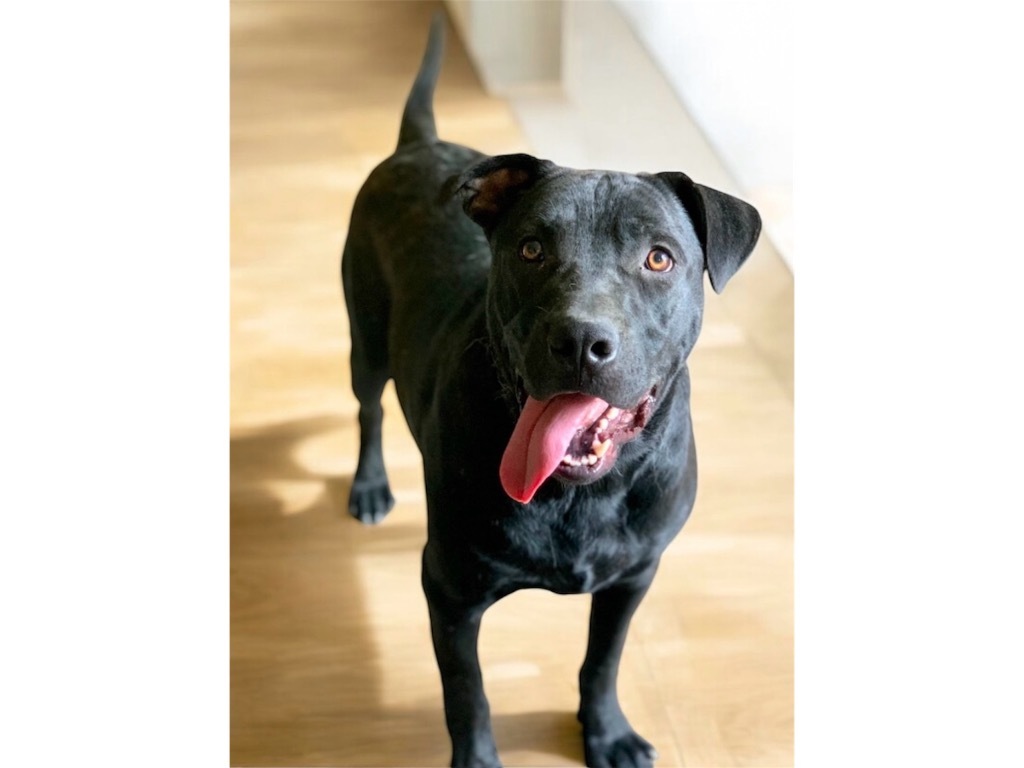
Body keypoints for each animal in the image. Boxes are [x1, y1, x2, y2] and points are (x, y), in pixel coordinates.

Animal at [342, 13, 761, 768]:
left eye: (659, 258)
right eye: (532, 249)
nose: (581, 340)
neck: (580, 493)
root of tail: (418, 145)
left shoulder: (632, 577)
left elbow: (603, 660)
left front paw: (606, 733)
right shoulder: (450, 592)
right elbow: (467, 695)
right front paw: (478, 759)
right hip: (366, 338)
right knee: (368, 413)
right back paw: (369, 487)